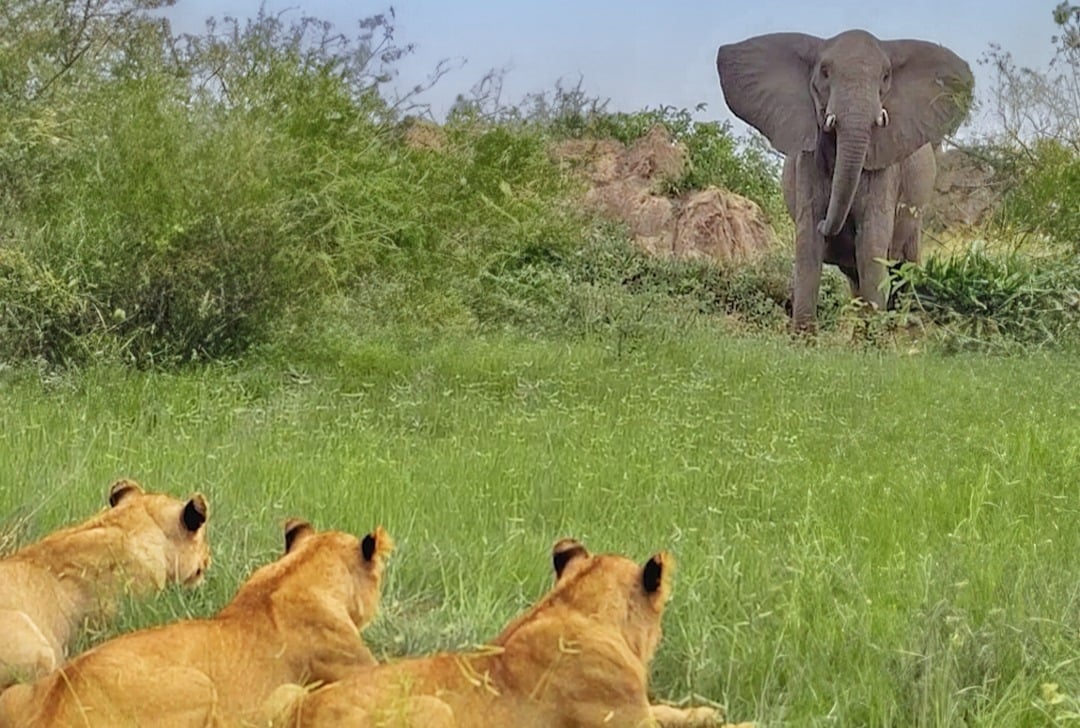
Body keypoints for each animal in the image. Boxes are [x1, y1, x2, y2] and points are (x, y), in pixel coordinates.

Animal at [267, 538, 749, 728]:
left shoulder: (642, 711)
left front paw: (708, 711)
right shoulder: (628, 721)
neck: (576, 607)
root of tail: (302, 713)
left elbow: (671, 708)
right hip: (435, 709)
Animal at [715, 30, 973, 330]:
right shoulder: (808, 164)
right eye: (825, 72)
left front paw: (874, 339)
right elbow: (807, 245)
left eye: (886, 76)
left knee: (903, 269)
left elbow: (871, 244)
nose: (828, 227)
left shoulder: (884, 170)